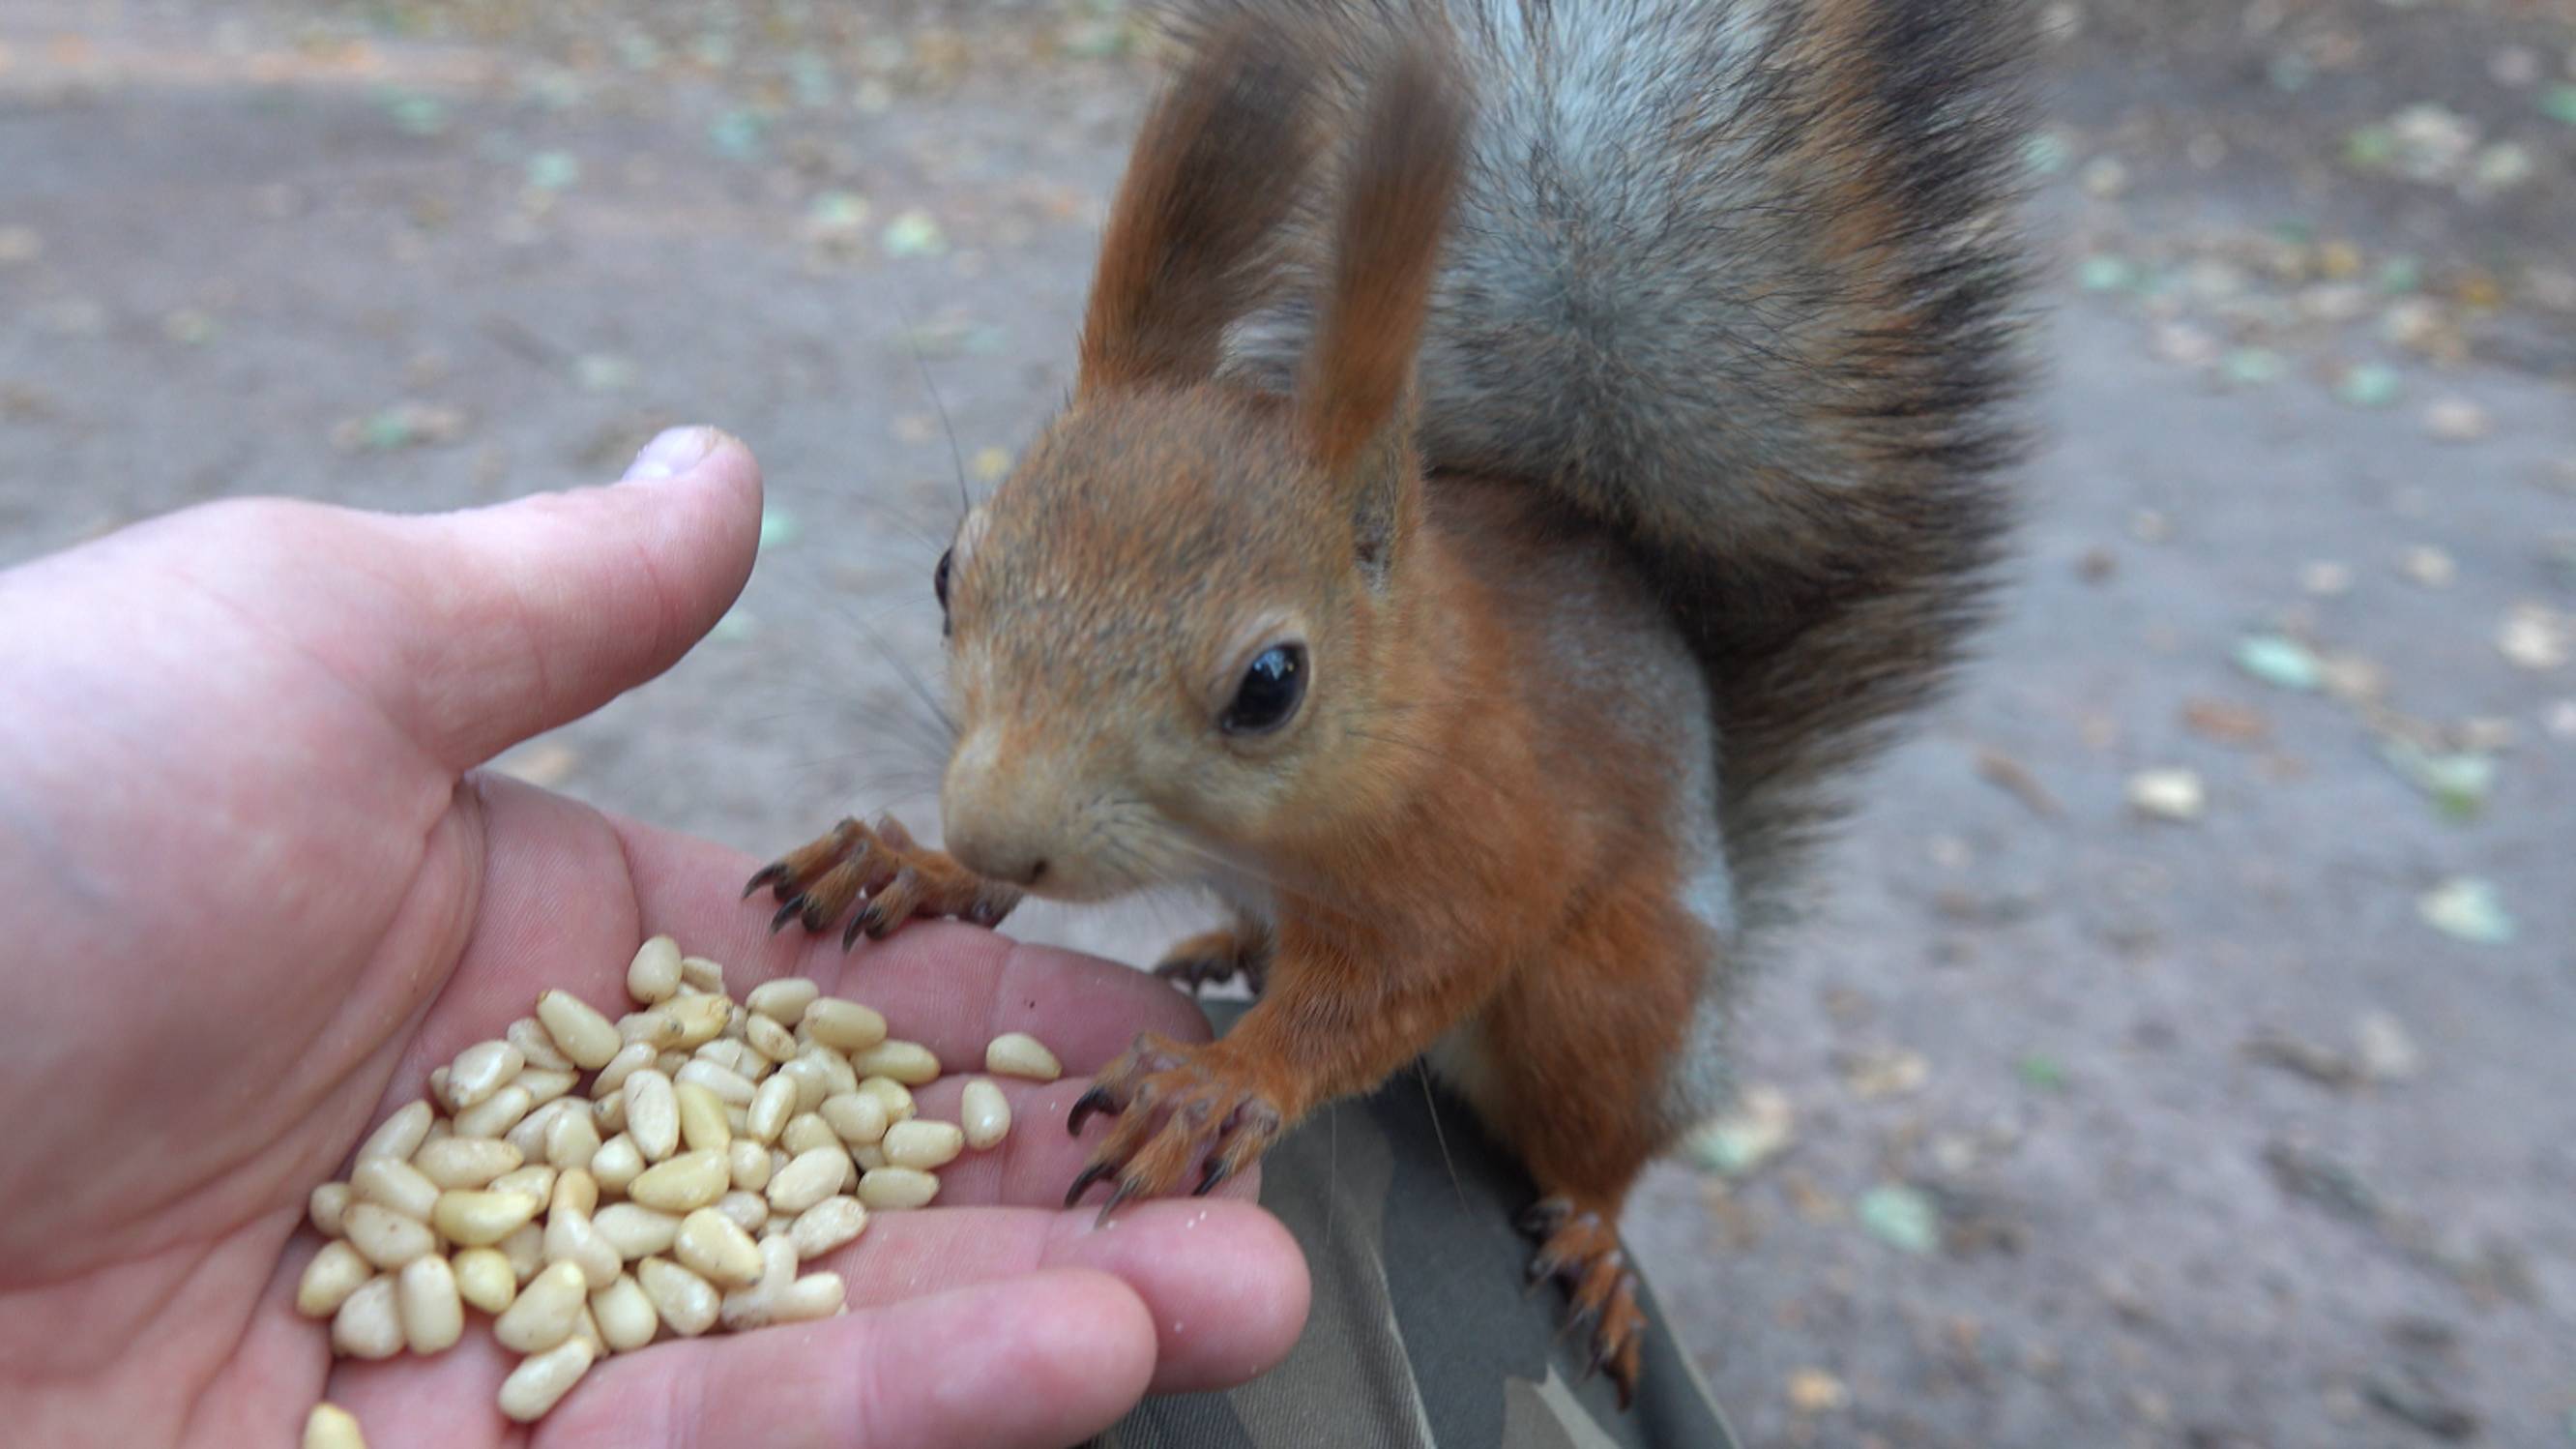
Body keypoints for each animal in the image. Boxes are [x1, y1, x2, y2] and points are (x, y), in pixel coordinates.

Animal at [746, 0, 2030, 1403]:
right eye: (947, 570)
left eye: (1269, 685)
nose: (987, 830)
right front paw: (907, 865)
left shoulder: (1470, 841)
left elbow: (1400, 981)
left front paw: (1217, 1082)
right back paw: (1226, 940)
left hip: (1608, 998)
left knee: (1605, 1136)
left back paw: (1594, 1235)